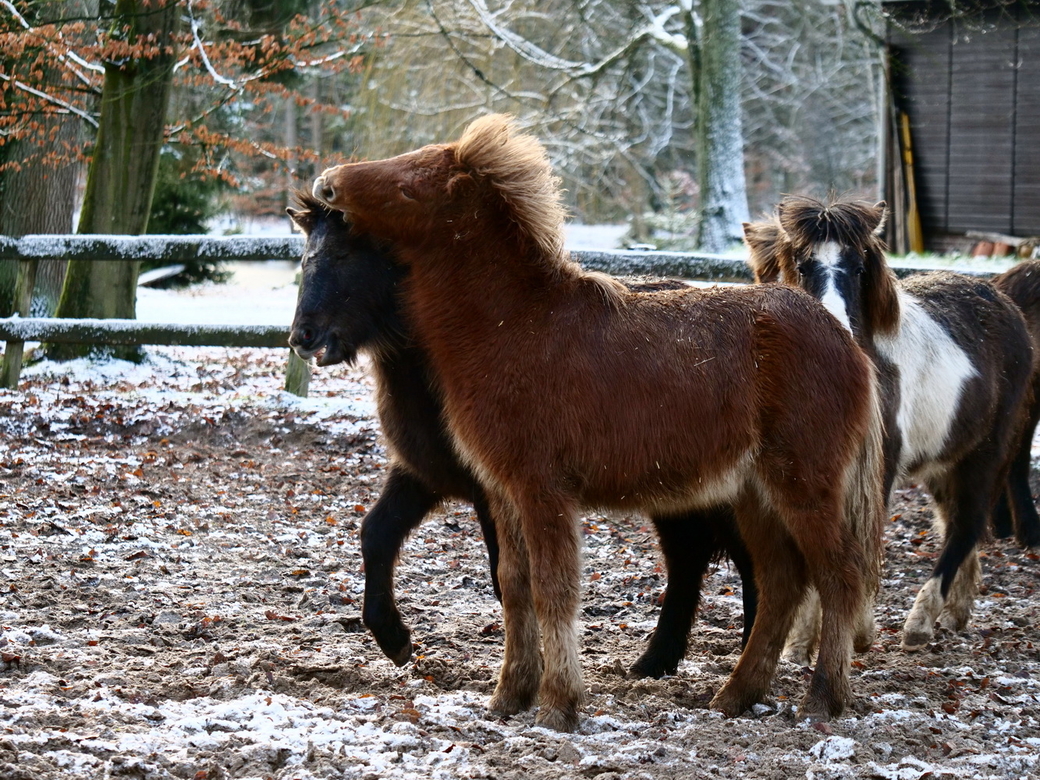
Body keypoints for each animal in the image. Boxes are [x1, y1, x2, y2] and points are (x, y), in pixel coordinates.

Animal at [289, 189, 761, 678]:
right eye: (305, 257)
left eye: (344, 253)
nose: (302, 336)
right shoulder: (423, 475)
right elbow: (376, 534)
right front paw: (394, 639)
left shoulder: (495, 489)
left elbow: (509, 579)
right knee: (689, 559)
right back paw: (655, 662)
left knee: (753, 564)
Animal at [748, 198, 1031, 657]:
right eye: (803, 264)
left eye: (859, 267)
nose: (837, 330)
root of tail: (1005, 303)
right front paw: (801, 642)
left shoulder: (877, 470)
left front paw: (857, 631)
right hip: (944, 461)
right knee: (958, 524)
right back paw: (956, 612)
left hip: (988, 452)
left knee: (966, 525)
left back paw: (920, 621)